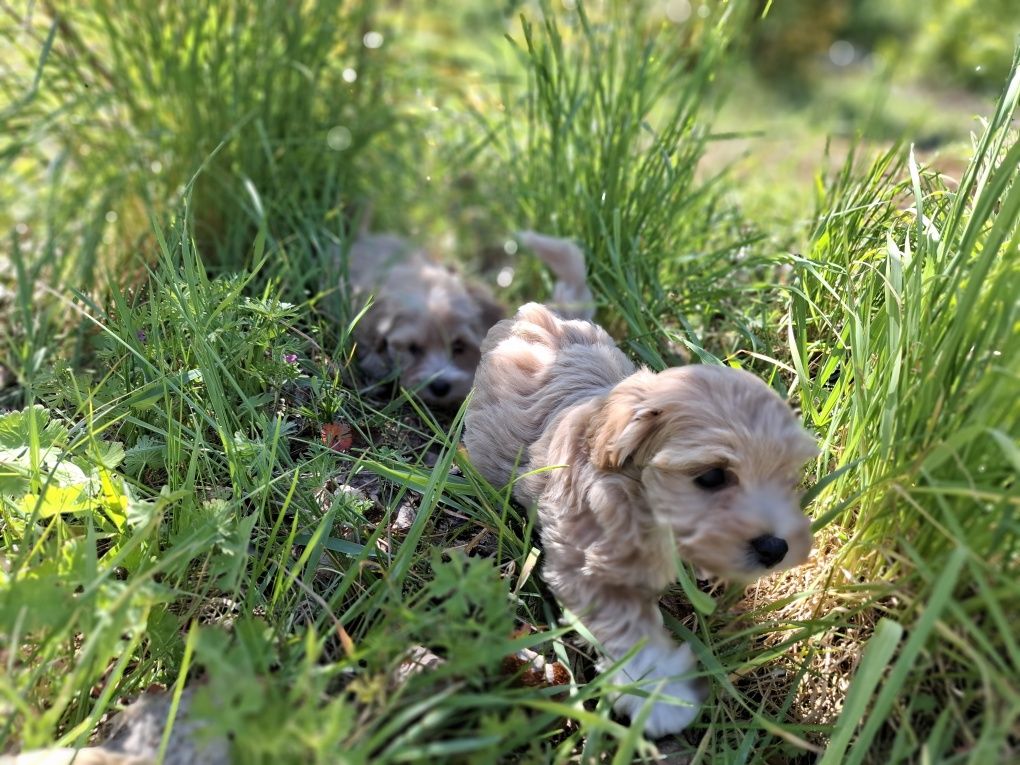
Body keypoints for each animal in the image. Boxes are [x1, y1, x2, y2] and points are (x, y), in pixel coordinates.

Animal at [467, 301, 816, 738]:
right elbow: (630, 631)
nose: (775, 547)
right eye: (712, 477)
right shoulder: (590, 567)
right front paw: (661, 696)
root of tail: (533, 314)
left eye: (788, 479)